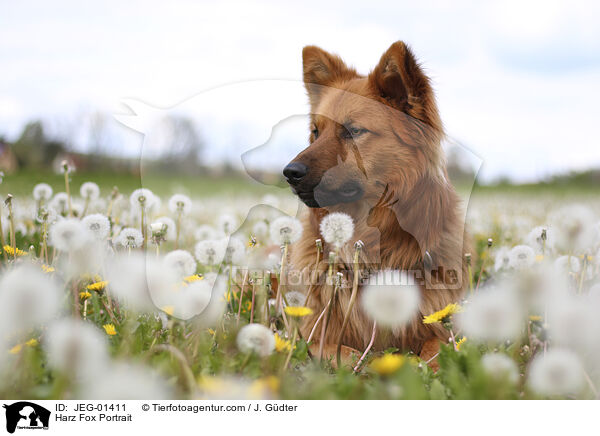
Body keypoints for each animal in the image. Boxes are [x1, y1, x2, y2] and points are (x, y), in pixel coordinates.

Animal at [284, 41, 472, 362]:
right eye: (315, 132)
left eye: (353, 131)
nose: (289, 173)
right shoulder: (311, 337)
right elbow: (348, 353)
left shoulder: (443, 326)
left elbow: (436, 350)